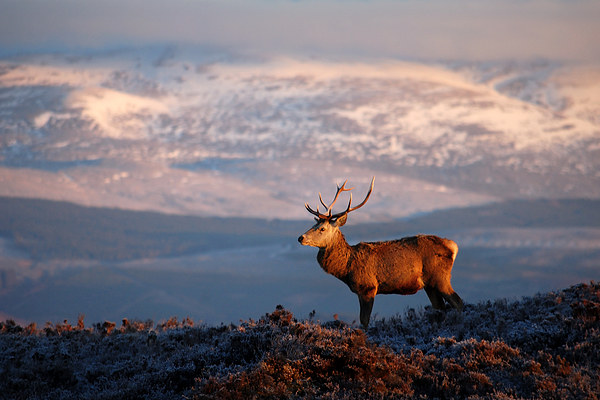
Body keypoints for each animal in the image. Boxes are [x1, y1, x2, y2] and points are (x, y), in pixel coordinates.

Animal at [298, 178, 464, 328]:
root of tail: (453, 246)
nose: (301, 237)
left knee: (459, 302)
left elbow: (364, 321)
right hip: (430, 284)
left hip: (440, 276)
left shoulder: (368, 287)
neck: (347, 268)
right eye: (313, 225)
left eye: (322, 229)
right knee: (440, 307)